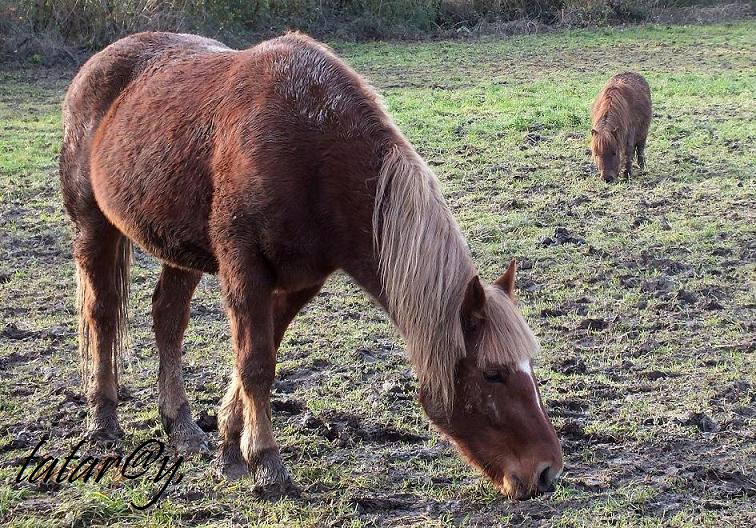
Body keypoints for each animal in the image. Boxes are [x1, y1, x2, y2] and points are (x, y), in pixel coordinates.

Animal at [62, 33, 564, 500]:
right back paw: (102, 421)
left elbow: (260, 357)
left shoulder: (298, 283)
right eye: (492, 374)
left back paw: (182, 429)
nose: (547, 471)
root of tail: (99, 61)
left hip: (177, 248)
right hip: (93, 226)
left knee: (168, 319)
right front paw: (267, 465)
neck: (312, 149)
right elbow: (256, 365)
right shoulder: (245, 270)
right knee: (101, 315)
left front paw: (229, 448)